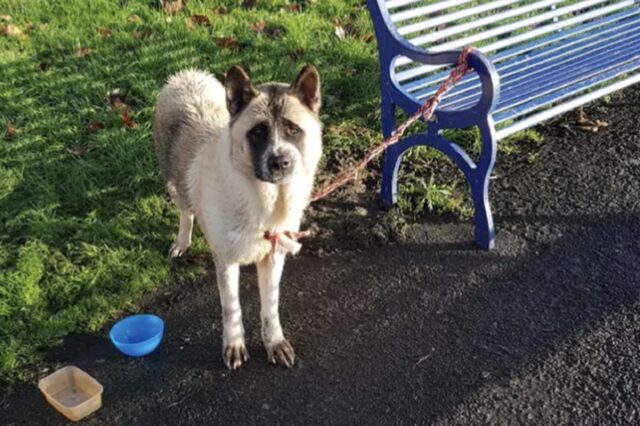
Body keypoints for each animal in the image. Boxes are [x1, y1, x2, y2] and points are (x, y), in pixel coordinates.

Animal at [152, 65, 322, 370]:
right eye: (257, 132)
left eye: (293, 129)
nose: (281, 162)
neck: (264, 199)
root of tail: (185, 76)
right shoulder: (226, 262)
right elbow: (232, 308)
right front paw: (234, 346)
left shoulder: (273, 258)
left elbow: (270, 307)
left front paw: (274, 342)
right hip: (173, 180)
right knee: (186, 211)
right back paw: (182, 242)